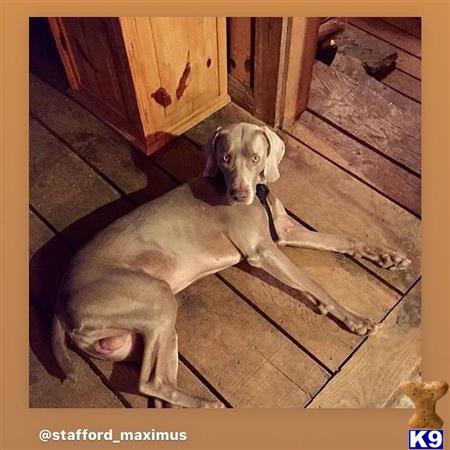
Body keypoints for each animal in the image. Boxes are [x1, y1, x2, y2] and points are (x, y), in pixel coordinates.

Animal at [52, 122, 412, 408]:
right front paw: (353, 318)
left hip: (141, 334)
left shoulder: (283, 231)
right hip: (154, 299)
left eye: (255, 158)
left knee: (156, 386)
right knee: (150, 382)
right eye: (226, 158)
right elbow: (312, 282)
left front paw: (387, 256)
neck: (258, 193)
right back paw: (207, 405)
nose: (239, 195)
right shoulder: (262, 250)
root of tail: (60, 300)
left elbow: (342, 240)